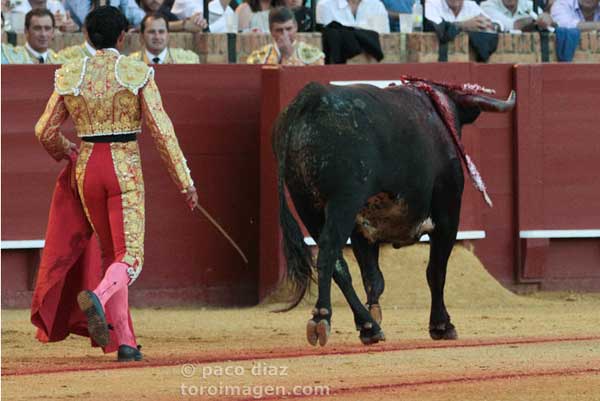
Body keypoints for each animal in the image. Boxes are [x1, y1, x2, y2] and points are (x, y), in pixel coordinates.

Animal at [274, 80, 512, 344]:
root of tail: (313, 97)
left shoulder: (362, 231)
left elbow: (373, 278)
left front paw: (373, 316)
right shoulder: (448, 215)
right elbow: (436, 271)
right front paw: (441, 325)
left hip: (308, 206)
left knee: (338, 265)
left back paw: (369, 326)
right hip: (342, 202)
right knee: (327, 254)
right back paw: (321, 317)